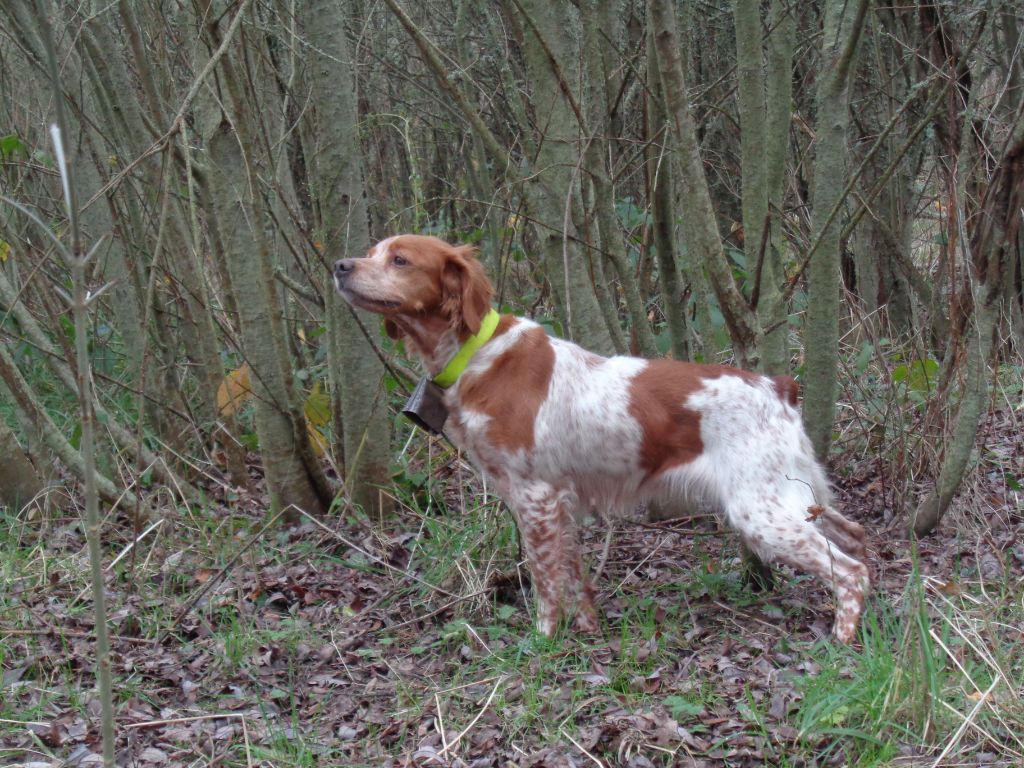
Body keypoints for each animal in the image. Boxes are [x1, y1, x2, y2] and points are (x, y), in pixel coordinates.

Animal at [334, 235, 869, 642]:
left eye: (400, 260)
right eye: (373, 250)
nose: (340, 266)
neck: (476, 353)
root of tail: (778, 386)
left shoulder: (535, 497)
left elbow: (546, 581)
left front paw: (544, 642)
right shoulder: (558, 502)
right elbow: (572, 578)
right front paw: (587, 632)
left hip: (760, 510)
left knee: (851, 572)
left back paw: (842, 640)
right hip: (796, 497)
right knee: (856, 538)